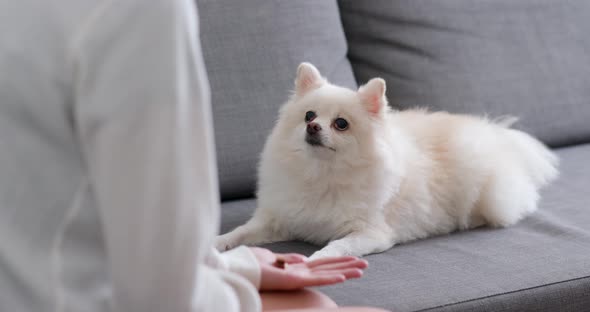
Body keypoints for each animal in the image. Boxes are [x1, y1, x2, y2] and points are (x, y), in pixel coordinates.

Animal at [216, 62, 560, 258]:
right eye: (309, 116)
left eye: (341, 124)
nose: (313, 127)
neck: (323, 173)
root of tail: (496, 133)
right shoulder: (279, 220)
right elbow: (242, 232)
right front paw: (218, 243)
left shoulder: (371, 233)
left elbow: (337, 247)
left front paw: (317, 262)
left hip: (490, 195)